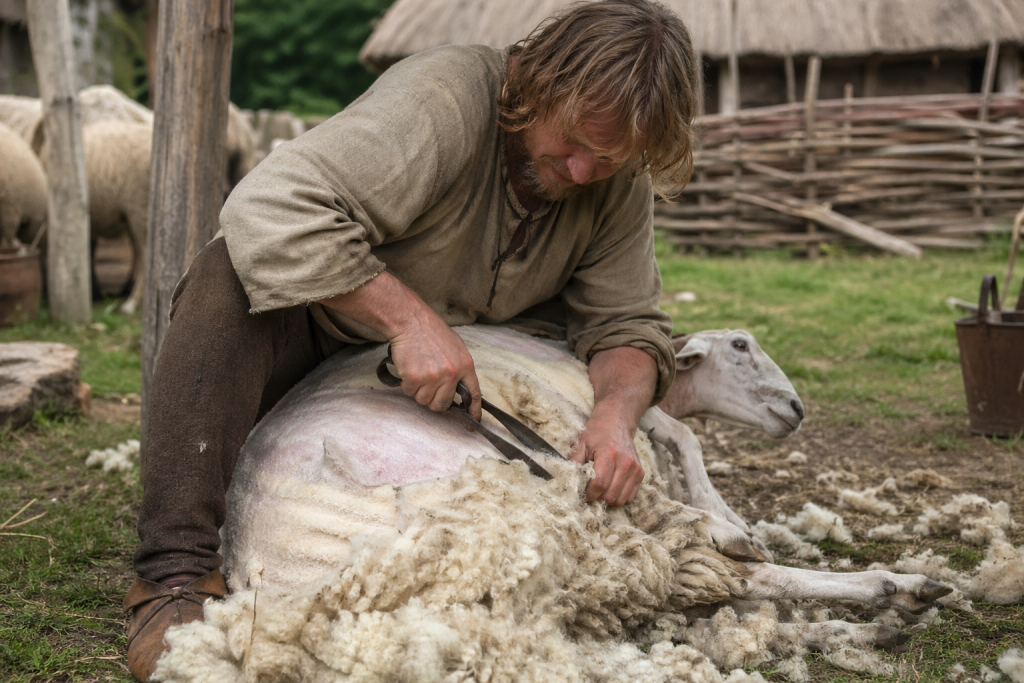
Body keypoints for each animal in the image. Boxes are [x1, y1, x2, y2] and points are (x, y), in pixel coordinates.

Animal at [148, 325, 951, 682]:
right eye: (741, 346)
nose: (796, 409)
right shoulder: (618, 436)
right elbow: (683, 436)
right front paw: (729, 516)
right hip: (543, 517)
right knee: (721, 576)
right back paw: (895, 589)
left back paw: (869, 626)